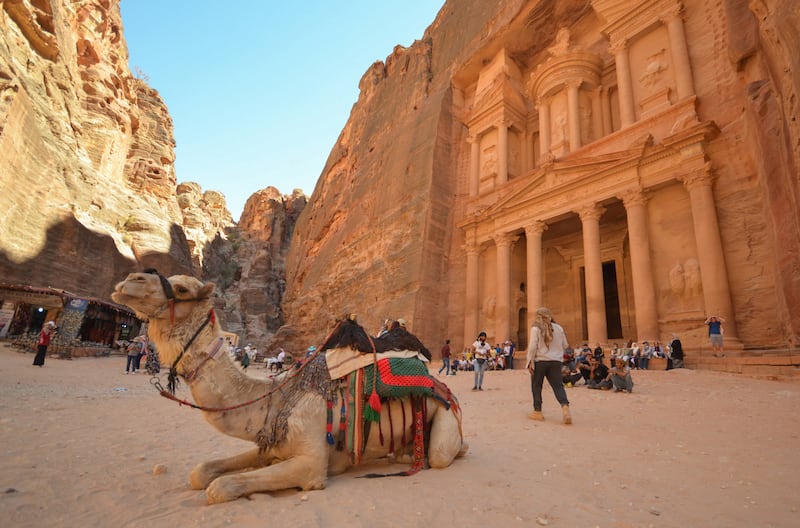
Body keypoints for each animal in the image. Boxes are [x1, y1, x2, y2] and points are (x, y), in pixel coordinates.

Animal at [109, 270, 466, 506]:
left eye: (181, 288)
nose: (130, 280)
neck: (274, 398)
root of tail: (442, 387)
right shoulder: (270, 441)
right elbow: (202, 473)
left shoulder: (311, 460)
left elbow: (220, 487)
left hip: (445, 423)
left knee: (442, 453)